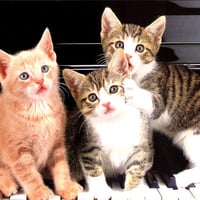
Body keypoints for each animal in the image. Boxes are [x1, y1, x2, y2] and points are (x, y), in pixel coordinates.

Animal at [0, 27, 82, 199]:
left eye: (44, 68)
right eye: (24, 76)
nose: (40, 81)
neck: (39, 111)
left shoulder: (58, 144)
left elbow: (62, 168)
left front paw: (66, 187)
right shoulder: (18, 151)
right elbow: (29, 175)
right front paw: (39, 191)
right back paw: (8, 184)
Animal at [62, 48, 153, 200]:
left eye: (114, 89)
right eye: (92, 97)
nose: (107, 104)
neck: (114, 122)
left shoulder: (140, 145)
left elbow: (136, 166)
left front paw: (134, 191)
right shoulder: (87, 146)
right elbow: (93, 168)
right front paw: (101, 191)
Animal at [101, 6, 200, 188]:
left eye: (139, 48)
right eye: (119, 45)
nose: (127, 56)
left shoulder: (160, 97)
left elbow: (153, 104)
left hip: (192, 136)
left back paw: (181, 178)